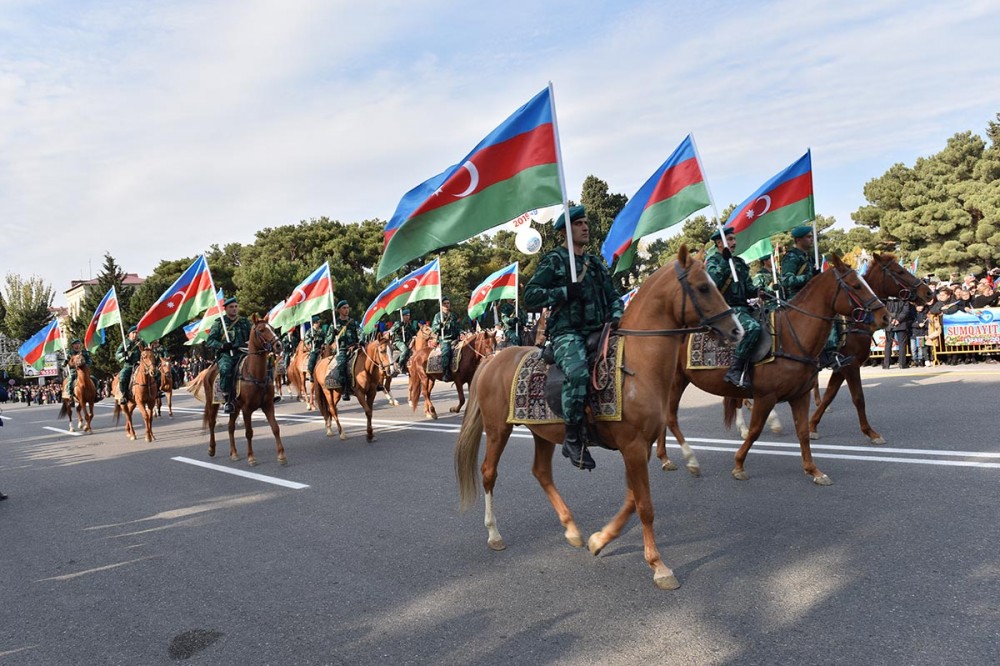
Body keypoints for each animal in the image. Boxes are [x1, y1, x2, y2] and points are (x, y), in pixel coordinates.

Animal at [187, 316, 286, 462]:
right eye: (261, 330)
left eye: (272, 328)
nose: (278, 345)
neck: (255, 373)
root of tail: (209, 369)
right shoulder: (246, 409)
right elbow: (249, 432)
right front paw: (251, 457)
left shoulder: (268, 405)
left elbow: (275, 428)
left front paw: (281, 455)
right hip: (212, 403)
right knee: (212, 423)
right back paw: (211, 449)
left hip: (234, 407)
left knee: (230, 427)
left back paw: (233, 452)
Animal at [454, 246, 744, 588]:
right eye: (703, 287)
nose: (737, 330)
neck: (637, 364)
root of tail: (493, 359)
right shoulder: (633, 447)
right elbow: (644, 505)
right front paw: (659, 566)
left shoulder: (640, 447)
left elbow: (632, 499)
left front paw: (599, 540)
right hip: (498, 429)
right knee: (488, 473)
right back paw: (494, 534)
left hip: (542, 433)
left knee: (541, 472)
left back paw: (572, 529)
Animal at [656, 254, 892, 482]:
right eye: (856, 285)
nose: (886, 316)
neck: (792, 335)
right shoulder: (766, 396)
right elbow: (755, 431)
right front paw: (739, 464)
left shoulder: (801, 394)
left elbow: (803, 430)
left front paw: (813, 470)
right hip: (676, 382)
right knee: (669, 417)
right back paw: (690, 460)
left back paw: (665, 458)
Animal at [808, 252, 932, 444]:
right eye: (900, 271)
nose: (928, 292)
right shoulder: (850, 366)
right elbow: (858, 398)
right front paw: (870, 432)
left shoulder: (840, 366)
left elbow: (829, 395)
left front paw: (812, 426)